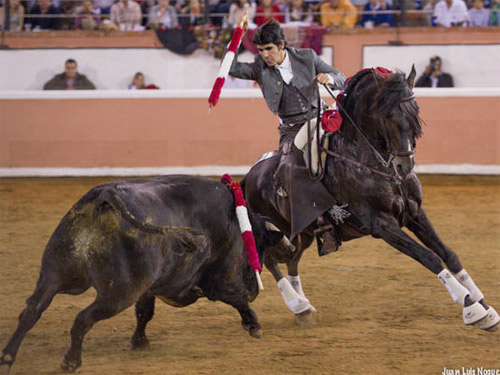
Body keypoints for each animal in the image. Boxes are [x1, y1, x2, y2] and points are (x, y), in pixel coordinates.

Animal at [0, 175, 294, 374]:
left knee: (31, 311)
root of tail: (105, 195)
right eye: (260, 247)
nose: (255, 290)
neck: (236, 221)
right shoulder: (219, 279)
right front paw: (253, 325)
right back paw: (71, 361)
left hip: (54, 272)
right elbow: (236, 297)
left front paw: (139, 341)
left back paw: (8, 358)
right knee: (82, 319)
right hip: (118, 293)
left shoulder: (148, 287)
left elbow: (144, 312)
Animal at [241, 67, 496, 332]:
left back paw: (304, 307)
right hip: (278, 231)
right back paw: (297, 304)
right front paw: (471, 308)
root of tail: (250, 176)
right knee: (269, 259)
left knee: (292, 260)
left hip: (304, 234)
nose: (404, 166)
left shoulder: (415, 213)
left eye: (416, 111)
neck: (365, 158)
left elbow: (448, 253)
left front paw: (485, 306)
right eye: (389, 116)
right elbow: (429, 256)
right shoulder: (381, 224)